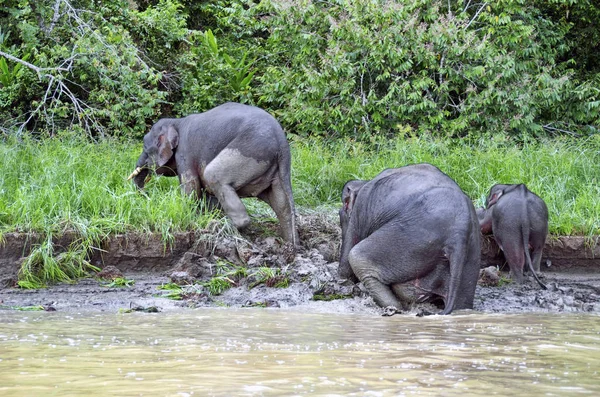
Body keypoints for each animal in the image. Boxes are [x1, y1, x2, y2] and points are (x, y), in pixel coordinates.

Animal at [131, 100, 300, 246]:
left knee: (213, 176)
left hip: (251, 149)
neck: (176, 122)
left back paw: (221, 226)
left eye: (145, 148)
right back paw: (290, 244)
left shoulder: (185, 153)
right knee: (282, 205)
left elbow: (191, 186)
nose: (147, 197)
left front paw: (193, 218)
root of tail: (282, 142)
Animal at [338, 162, 482, 314]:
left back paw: (395, 308)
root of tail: (459, 234)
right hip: (470, 257)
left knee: (358, 257)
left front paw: (343, 280)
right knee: (462, 303)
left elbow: (347, 265)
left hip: (411, 237)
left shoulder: (360, 210)